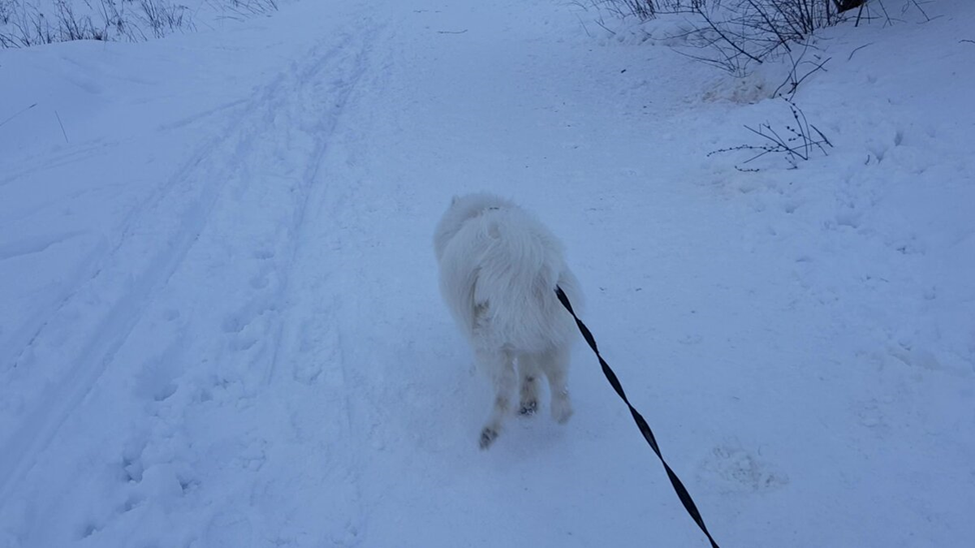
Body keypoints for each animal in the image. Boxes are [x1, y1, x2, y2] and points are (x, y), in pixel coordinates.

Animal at [436, 193, 588, 450]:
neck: (482, 211)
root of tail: (532, 275)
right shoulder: (531, 345)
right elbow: (530, 373)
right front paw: (530, 401)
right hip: (555, 336)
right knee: (559, 381)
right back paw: (556, 412)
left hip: (491, 344)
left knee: (504, 390)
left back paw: (489, 432)